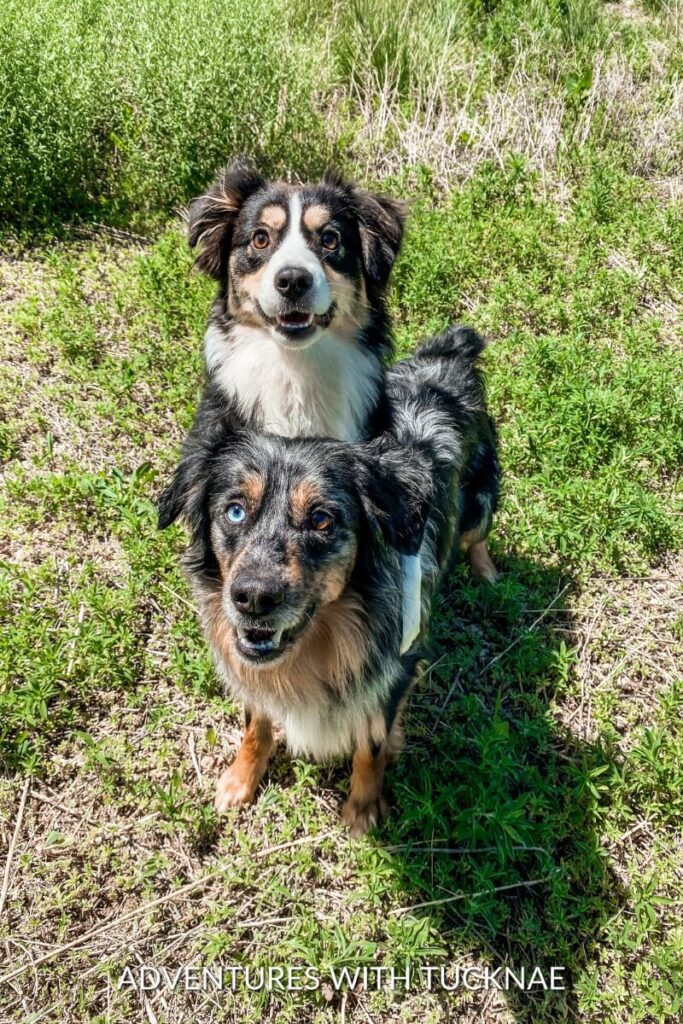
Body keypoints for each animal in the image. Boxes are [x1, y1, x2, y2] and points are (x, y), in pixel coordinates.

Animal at [157, 325, 499, 831]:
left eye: (321, 520)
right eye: (234, 511)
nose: (252, 598)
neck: (319, 643)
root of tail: (449, 355)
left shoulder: (391, 673)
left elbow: (370, 745)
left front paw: (362, 809)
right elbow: (255, 723)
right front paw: (240, 779)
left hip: (480, 502)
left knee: (476, 535)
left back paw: (486, 570)